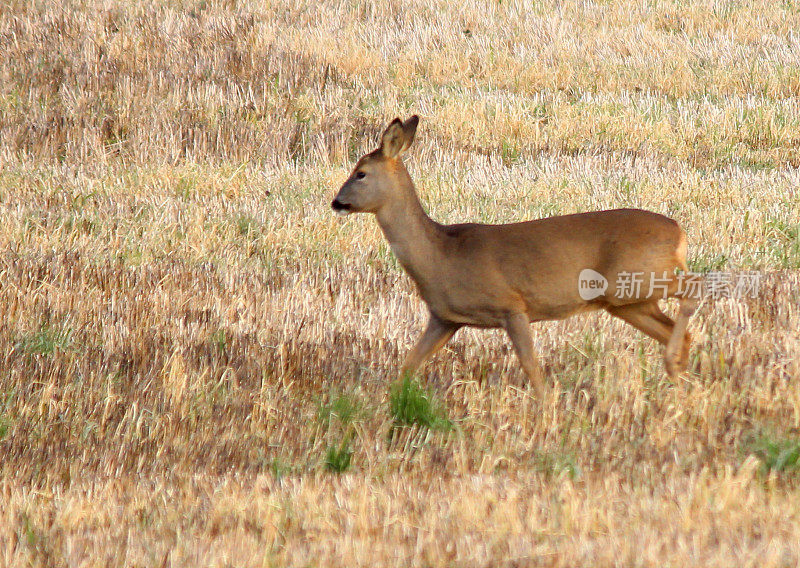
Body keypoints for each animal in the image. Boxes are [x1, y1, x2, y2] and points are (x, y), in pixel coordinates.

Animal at [332, 113, 700, 392]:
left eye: (360, 173)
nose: (337, 202)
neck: (440, 253)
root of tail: (679, 233)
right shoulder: (444, 318)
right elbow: (408, 366)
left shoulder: (512, 304)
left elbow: (532, 368)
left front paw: (546, 413)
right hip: (629, 301)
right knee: (681, 332)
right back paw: (681, 381)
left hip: (638, 279)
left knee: (695, 288)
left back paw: (674, 367)